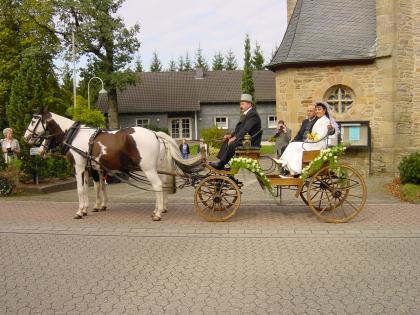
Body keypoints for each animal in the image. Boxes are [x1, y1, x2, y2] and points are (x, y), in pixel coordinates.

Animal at [23, 110, 203, 221]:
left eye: (33, 120)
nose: (26, 137)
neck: (75, 135)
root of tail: (154, 133)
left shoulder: (81, 167)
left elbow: (82, 189)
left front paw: (81, 211)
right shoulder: (92, 168)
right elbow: (94, 188)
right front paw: (92, 207)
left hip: (148, 169)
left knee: (158, 185)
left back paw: (158, 213)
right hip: (157, 168)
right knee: (163, 185)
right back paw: (160, 209)